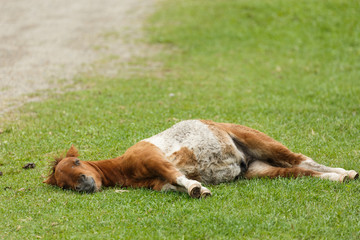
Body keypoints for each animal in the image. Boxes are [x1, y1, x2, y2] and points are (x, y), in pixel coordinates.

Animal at [43, 119, 358, 198]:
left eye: (77, 163)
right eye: (65, 184)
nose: (85, 184)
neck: (126, 168)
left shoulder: (155, 160)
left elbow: (179, 176)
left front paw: (198, 188)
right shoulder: (159, 183)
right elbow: (176, 183)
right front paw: (197, 188)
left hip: (263, 144)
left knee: (302, 160)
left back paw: (347, 172)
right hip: (260, 170)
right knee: (299, 171)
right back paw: (338, 177)